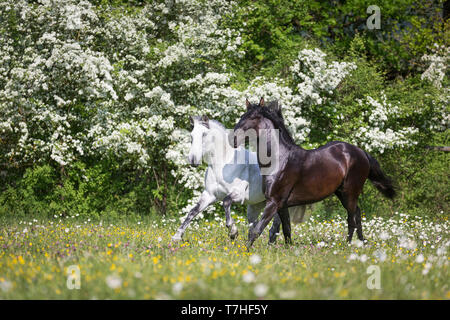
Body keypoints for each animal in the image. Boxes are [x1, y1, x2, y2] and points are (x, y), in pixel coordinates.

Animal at [172, 115, 310, 242]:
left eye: (204, 134)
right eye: (191, 136)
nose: (193, 160)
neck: (223, 165)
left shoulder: (238, 194)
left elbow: (226, 202)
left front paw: (233, 231)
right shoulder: (209, 195)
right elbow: (192, 212)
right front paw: (176, 237)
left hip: (278, 204)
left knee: (275, 226)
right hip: (255, 206)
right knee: (255, 226)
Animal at [234, 97, 396, 248]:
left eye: (253, 117)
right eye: (242, 115)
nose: (233, 139)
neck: (279, 159)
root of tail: (362, 153)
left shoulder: (274, 202)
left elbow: (256, 230)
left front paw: (245, 251)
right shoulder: (282, 205)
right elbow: (286, 230)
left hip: (350, 192)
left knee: (352, 218)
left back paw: (348, 246)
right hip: (342, 193)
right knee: (357, 213)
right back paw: (361, 243)